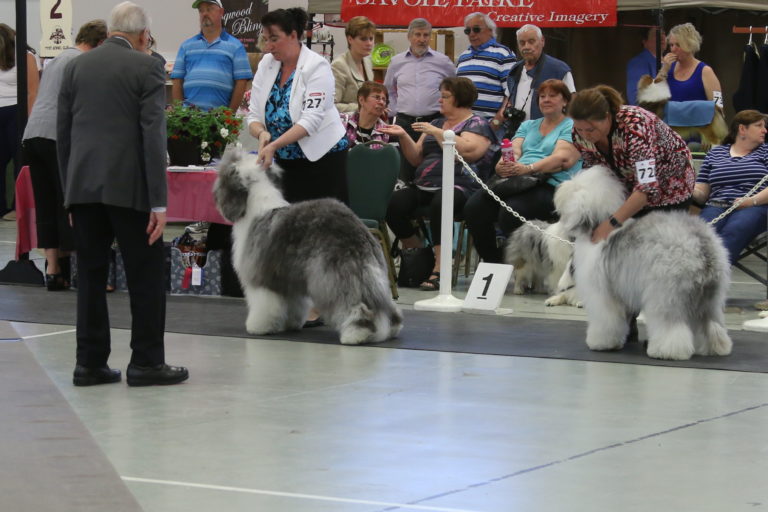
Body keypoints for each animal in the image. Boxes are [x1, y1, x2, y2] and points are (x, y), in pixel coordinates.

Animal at [210, 150, 402, 346]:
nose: (215, 198)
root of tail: (357, 230)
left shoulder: (262, 276)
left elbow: (264, 305)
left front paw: (258, 327)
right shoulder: (289, 277)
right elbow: (294, 304)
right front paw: (291, 324)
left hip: (334, 276)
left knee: (353, 304)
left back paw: (357, 334)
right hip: (368, 271)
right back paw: (392, 327)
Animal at [552, 167, 732, 360]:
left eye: (575, 189)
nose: (559, 191)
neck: (597, 226)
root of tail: (701, 246)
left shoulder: (601, 294)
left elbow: (605, 319)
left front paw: (601, 342)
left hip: (666, 295)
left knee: (670, 326)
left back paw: (666, 351)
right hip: (710, 298)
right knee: (711, 324)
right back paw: (716, 347)